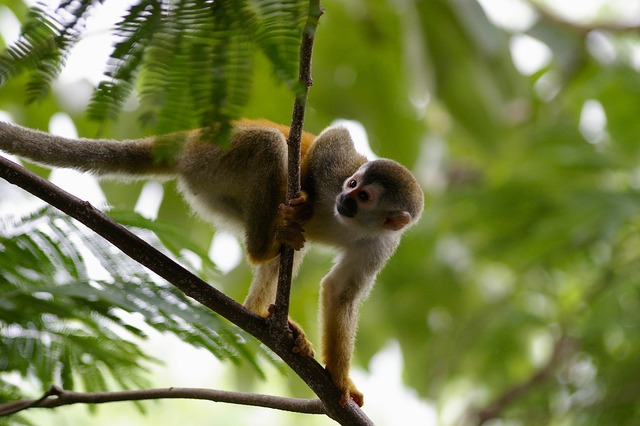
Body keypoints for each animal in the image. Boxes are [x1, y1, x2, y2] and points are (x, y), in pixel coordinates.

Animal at [0, 119, 424, 406]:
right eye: (353, 185)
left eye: (365, 197)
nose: (345, 199)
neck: (349, 223)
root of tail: (190, 139)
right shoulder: (338, 169)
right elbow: (333, 140)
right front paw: (305, 188)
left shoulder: (383, 243)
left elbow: (341, 292)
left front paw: (339, 381)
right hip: (217, 157)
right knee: (271, 145)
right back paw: (268, 243)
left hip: (212, 190)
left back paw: (263, 311)